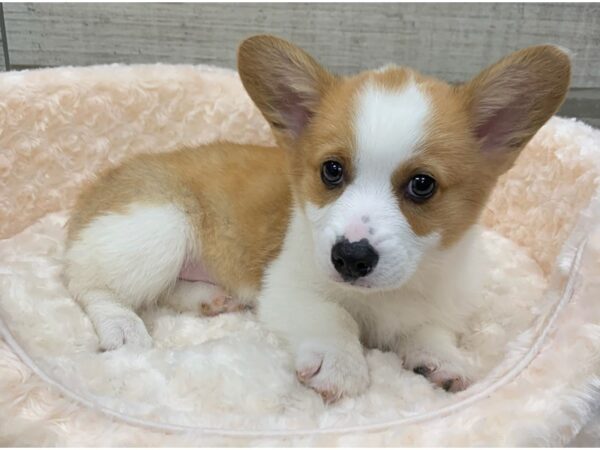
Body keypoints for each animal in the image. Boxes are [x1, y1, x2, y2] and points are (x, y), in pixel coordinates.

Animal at [62, 35, 572, 400]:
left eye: (422, 184)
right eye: (332, 170)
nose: (350, 258)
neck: (384, 295)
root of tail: (103, 181)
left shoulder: (437, 305)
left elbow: (429, 331)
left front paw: (443, 359)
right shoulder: (289, 290)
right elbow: (333, 317)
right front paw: (341, 364)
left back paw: (207, 298)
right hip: (160, 230)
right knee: (90, 285)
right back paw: (123, 326)